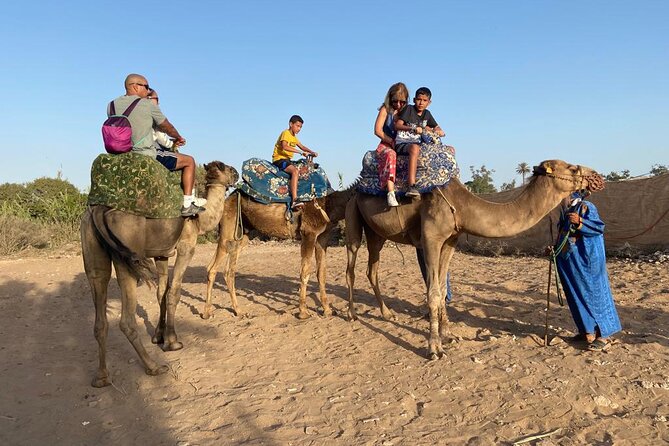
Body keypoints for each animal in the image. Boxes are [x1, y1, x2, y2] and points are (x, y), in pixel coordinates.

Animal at [81, 161, 239, 387]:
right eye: (225, 167)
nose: (237, 173)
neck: (200, 219)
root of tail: (97, 211)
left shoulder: (161, 253)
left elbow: (161, 292)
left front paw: (158, 337)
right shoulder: (186, 246)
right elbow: (174, 291)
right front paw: (172, 342)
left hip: (92, 248)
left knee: (100, 306)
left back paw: (102, 377)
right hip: (126, 255)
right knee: (126, 319)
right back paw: (154, 367)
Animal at [203, 184, 356, 319]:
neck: (329, 204)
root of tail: (226, 200)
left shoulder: (322, 237)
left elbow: (321, 273)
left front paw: (328, 311)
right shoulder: (308, 233)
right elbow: (305, 272)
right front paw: (303, 312)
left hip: (241, 235)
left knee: (228, 271)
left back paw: (239, 312)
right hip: (228, 231)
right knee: (213, 268)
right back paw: (207, 313)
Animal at [344, 159, 603, 359]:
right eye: (572, 168)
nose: (596, 177)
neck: (461, 206)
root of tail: (354, 189)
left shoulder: (450, 239)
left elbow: (441, 288)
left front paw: (448, 336)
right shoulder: (431, 238)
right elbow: (433, 292)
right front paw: (434, 349)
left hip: (376, 232)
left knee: (372, 269)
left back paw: (387, 314)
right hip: (353, 215)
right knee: (351, 266)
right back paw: (351, 314)